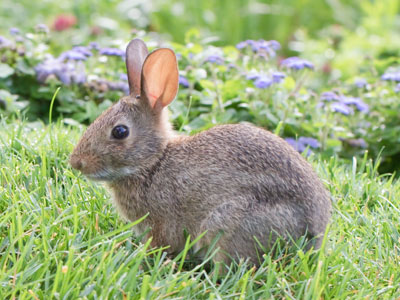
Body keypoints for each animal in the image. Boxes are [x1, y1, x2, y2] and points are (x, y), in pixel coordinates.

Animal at [69, 38, 332, 264]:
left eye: (120, 131)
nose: (76, 162)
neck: (153, 163)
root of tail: (312, 235)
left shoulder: (162, 222)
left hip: (228, 223)